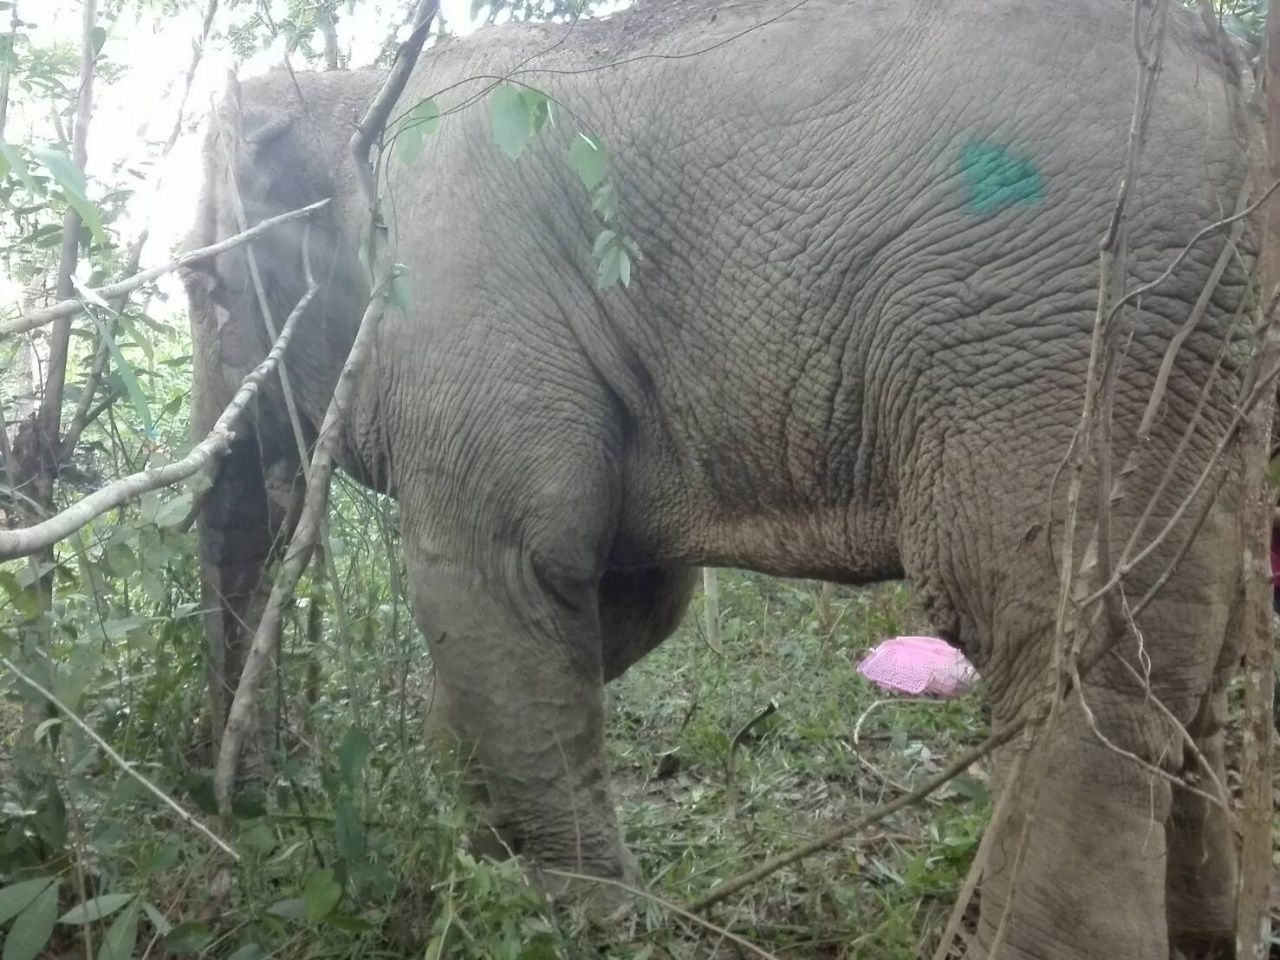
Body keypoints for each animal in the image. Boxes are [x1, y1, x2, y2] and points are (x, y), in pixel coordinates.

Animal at [181, 0, 1255, 957]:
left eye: (196, 284)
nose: (242, 808)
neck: (351, 89)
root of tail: (1226, 70)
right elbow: (624, 598)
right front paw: (474, 849)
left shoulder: (459, 281)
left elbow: (504, 569)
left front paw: (581, 915)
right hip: (1185, 360)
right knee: (1186, 667)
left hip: (1053, 333)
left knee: (1052, 644)